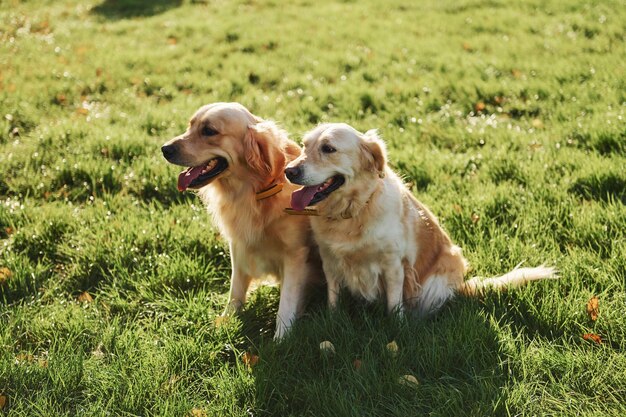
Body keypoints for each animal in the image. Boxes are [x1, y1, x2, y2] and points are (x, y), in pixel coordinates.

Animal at [160, 101, 322, 338]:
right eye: (190, 126)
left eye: (209, 131)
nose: (165, 149)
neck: (253, 192)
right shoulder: (238, 245)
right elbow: (235, 288)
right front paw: (225, 322)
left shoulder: (295, 254)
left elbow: (287, 301)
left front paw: (281, 337)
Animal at [282, 123, 552, 316]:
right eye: (305, 146)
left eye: (328, 149)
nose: (289, 171)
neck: (352, 212)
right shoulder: (330, 261)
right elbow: (334, 300)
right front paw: (333, 320)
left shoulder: (393, 265)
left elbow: (394, 306)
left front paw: (396, 330)